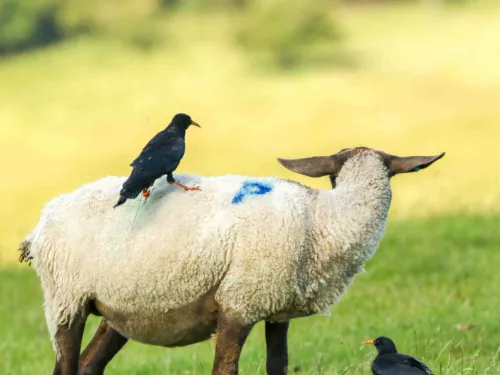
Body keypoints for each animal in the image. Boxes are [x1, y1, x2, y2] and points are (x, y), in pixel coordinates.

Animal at [18, 146, 446, 375]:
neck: (324, 219)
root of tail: (42, 221)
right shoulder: (237, 305)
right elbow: (226, 369)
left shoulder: (276, 309)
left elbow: (278, 365)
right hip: (66, 299)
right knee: (66, 366)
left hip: (120, 308)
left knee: (88, 365)